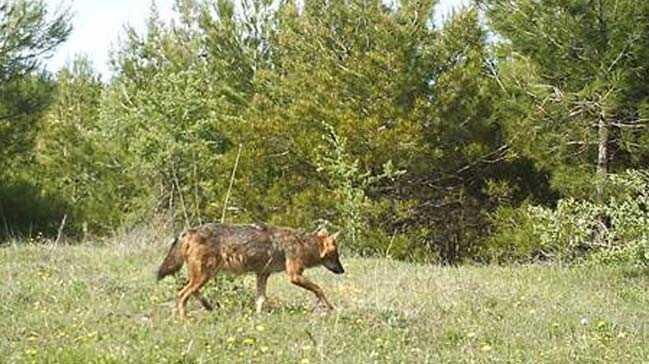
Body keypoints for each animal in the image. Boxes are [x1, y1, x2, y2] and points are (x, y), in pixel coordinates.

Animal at [156, 220, 344, 318]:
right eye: (336, 256)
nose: (343, 271)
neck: (303, 245)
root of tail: (189, 231)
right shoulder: (294, 276)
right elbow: (319, 289)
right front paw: (331, 308)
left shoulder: (262, 274)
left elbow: (260, 299)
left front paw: (259, 319)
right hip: (204, 275)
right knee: (182, 295)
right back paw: (185, 319)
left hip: (204, 275)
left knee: (188, 291)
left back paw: (208, 306)